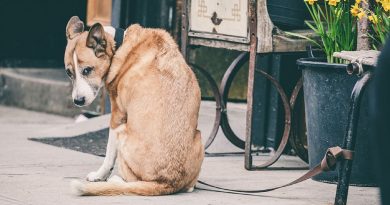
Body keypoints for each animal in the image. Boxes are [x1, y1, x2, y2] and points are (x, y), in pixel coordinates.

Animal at [64, 16, 204, 196]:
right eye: (69, 73)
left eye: (87, 70)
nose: (78, 101)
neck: (119, 45)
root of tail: (167, 183)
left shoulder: (117, 117)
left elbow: (109, 156)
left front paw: (99, 176)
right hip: (199, 137)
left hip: (123, 132)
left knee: (132, 181)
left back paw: (116, 181)